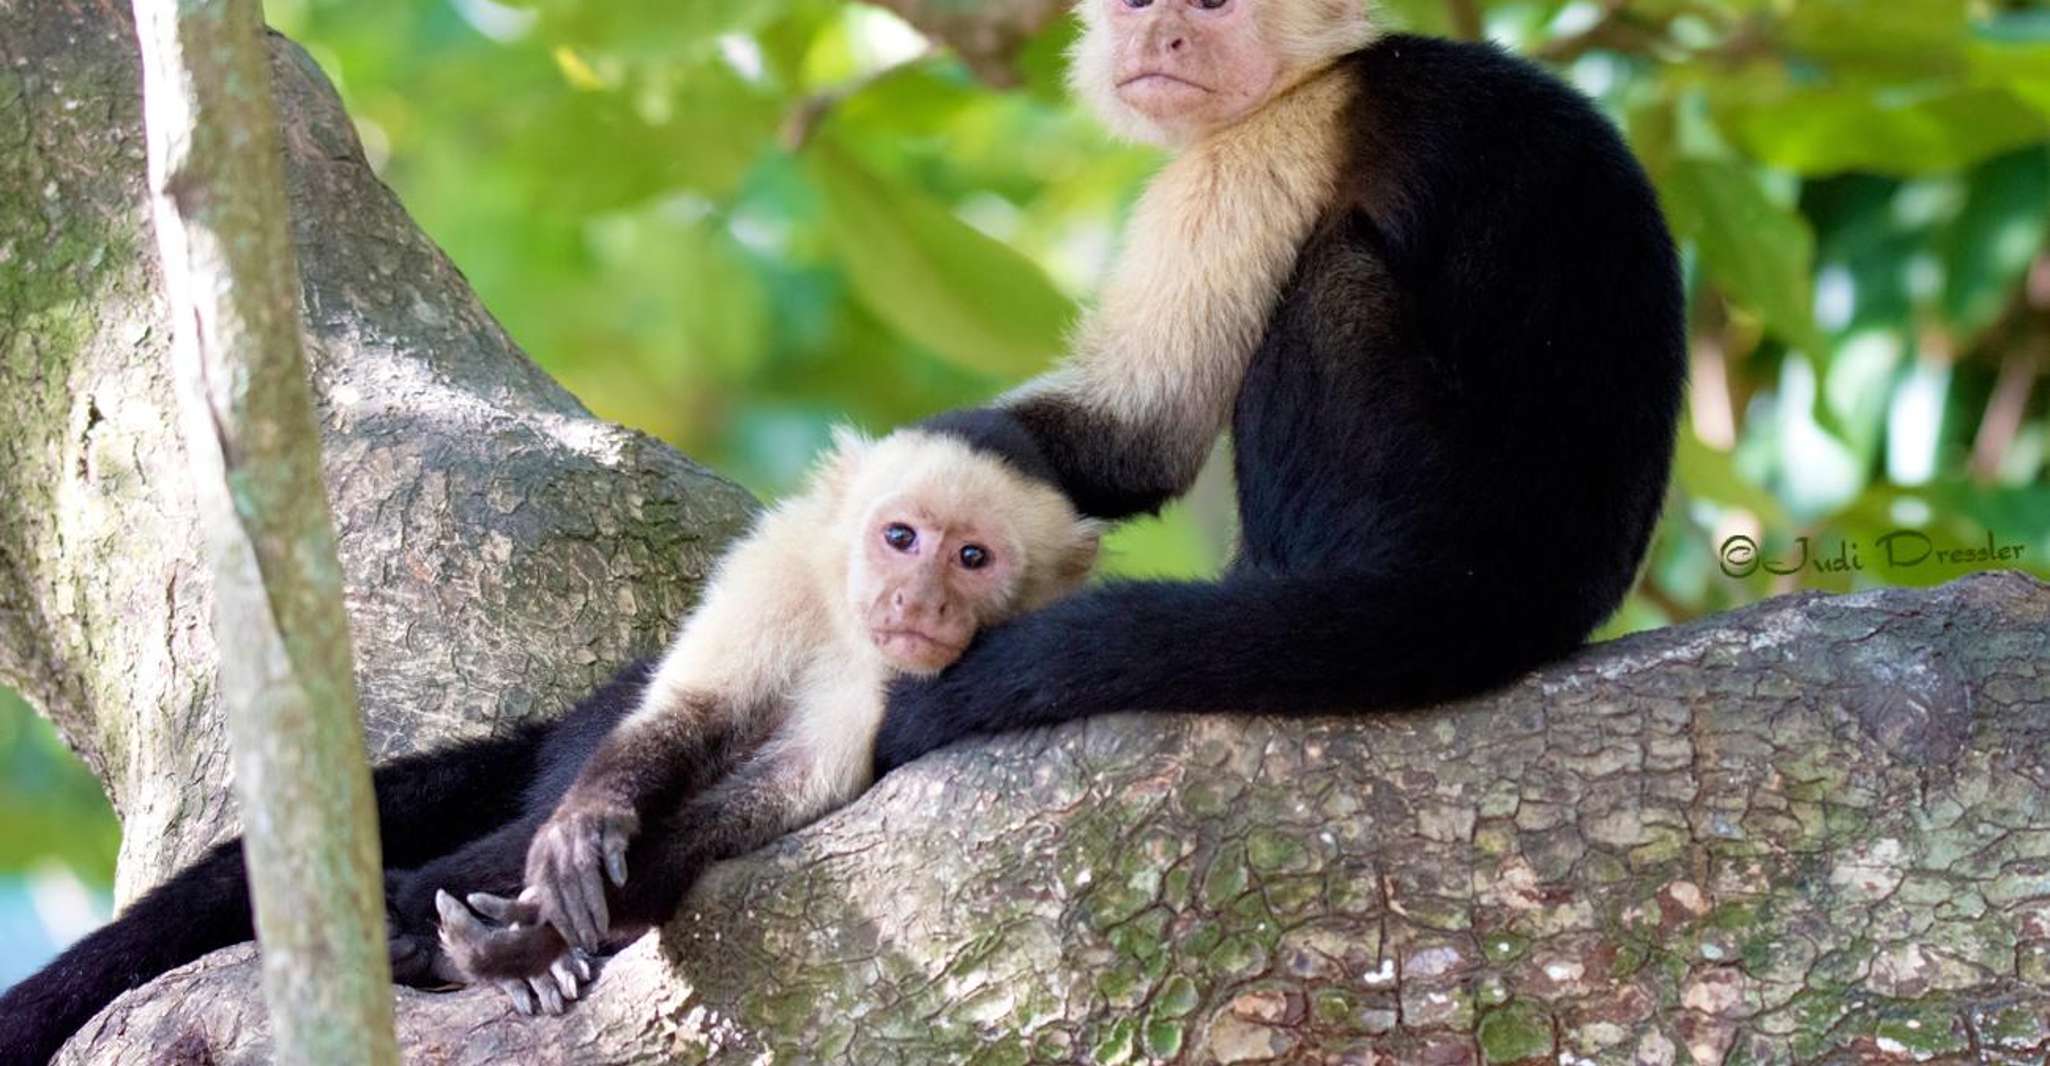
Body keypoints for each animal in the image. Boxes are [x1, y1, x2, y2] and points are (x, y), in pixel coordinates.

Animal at [0, 427, 1099, 1060]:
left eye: (972, 557)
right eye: (899, 537)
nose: (918, 602)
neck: (841, 622)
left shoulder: (900, 684)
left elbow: (771, 794)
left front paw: (546, 926)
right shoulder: (773, 568)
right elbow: (678, 718)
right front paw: (578, 841)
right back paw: (427, 918)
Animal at [873, 0, 1688, 772]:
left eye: (1211, 5)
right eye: (1137, 4)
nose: (1161, 39)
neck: (1309, 71)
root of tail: (1525, 586)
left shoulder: (1262, 148)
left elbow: (1142, 438)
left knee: (1333, 279)